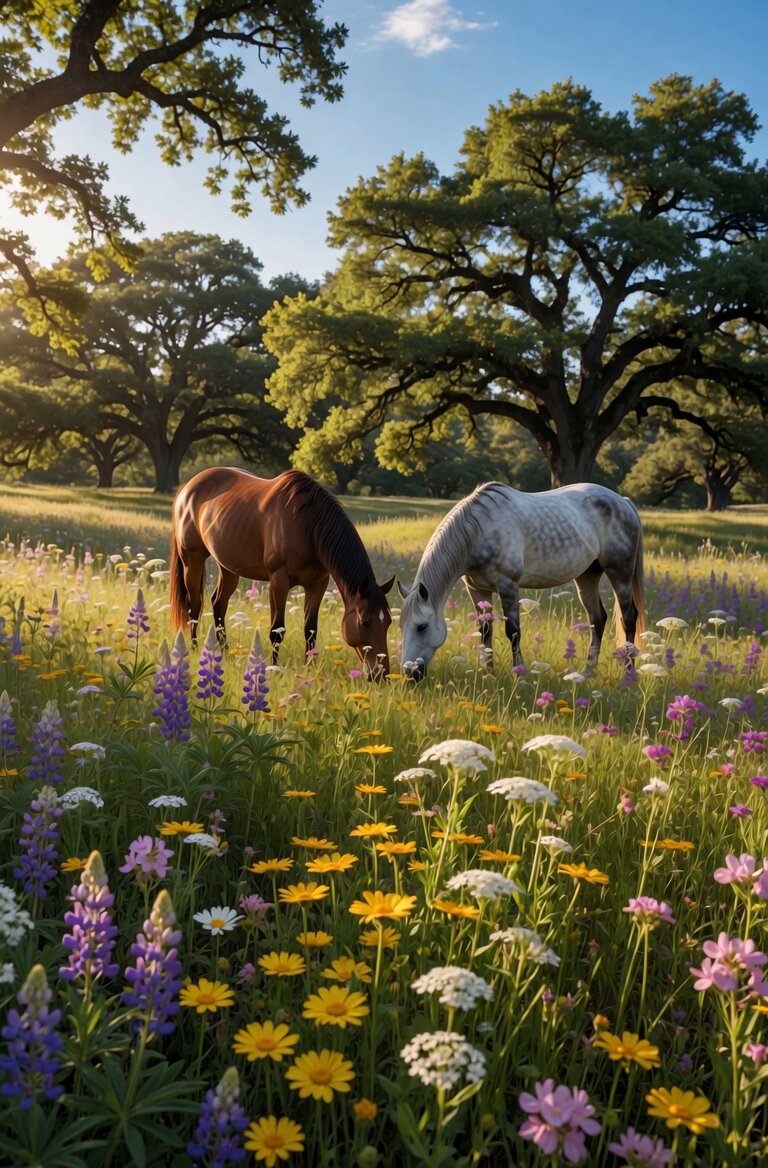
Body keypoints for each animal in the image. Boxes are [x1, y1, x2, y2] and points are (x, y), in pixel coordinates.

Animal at [170, 467, 394, 679]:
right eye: (364, 622)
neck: (307, 525)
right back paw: (195, 649)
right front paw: (273, 668)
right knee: (194, 607)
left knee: (218, 604)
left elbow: (310, 630)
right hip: (192, 560)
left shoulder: (318, 584)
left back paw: (224, 652)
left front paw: (309, 668)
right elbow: (277, 630)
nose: (381, 674)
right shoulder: (279, 581)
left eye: (389, 622)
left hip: (228, 567)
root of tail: (188, 487)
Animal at [398, 481, 644, 681]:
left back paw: (629, 672)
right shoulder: (477, 589)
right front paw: (488, 672)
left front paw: (519, 673)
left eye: (422, 626)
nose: (410, 674)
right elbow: (485, 630)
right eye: (401, 626)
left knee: (629, 617)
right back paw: (588, 672)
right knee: (597, 619)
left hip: (620, 573)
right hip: (587, 576)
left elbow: (513, 631)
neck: (478, 531)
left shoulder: (508, 586)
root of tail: (623, 502)